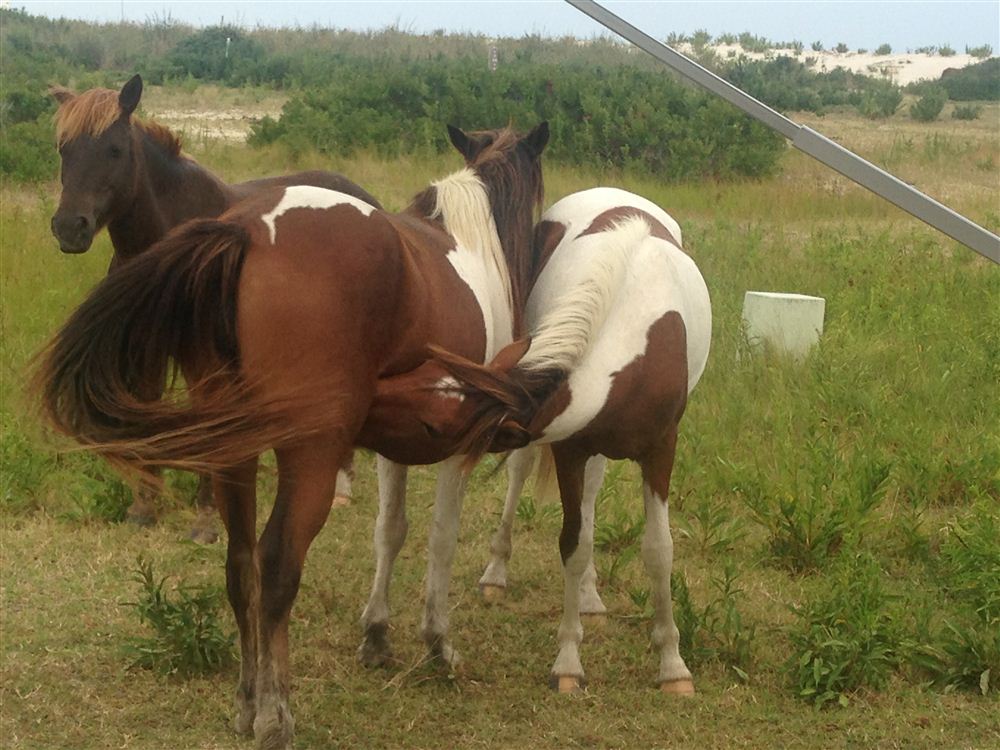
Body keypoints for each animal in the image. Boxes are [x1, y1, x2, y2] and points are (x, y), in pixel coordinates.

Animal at [33, 120, 548, 748]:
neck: (470, 242)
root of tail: (247, 230)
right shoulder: (458, 445)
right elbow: (440, 539)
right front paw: (437, 644)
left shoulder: (399, 441)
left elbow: (390, 531)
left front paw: (377, 635)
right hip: (309, 457)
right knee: (276, 565)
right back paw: (274, 713)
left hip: (235, 449)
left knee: (240, 565)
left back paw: (246, 700)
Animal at [48, 73, 380, 536]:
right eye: (65, 148)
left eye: (114, 149)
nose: (69, 227)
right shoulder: (147, 350)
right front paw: (144, 506)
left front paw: (206, 515)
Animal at [380, 188, 712, 700]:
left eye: (432, 422)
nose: (370, 393)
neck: (634, 334)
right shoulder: (570, 448)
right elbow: (573, 544)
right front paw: (569, 661)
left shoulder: (660, 450)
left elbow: (658, 551)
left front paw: (672, 665)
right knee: (524, 482)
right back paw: (498, 574)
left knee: (594, 499)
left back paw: (591, 596)